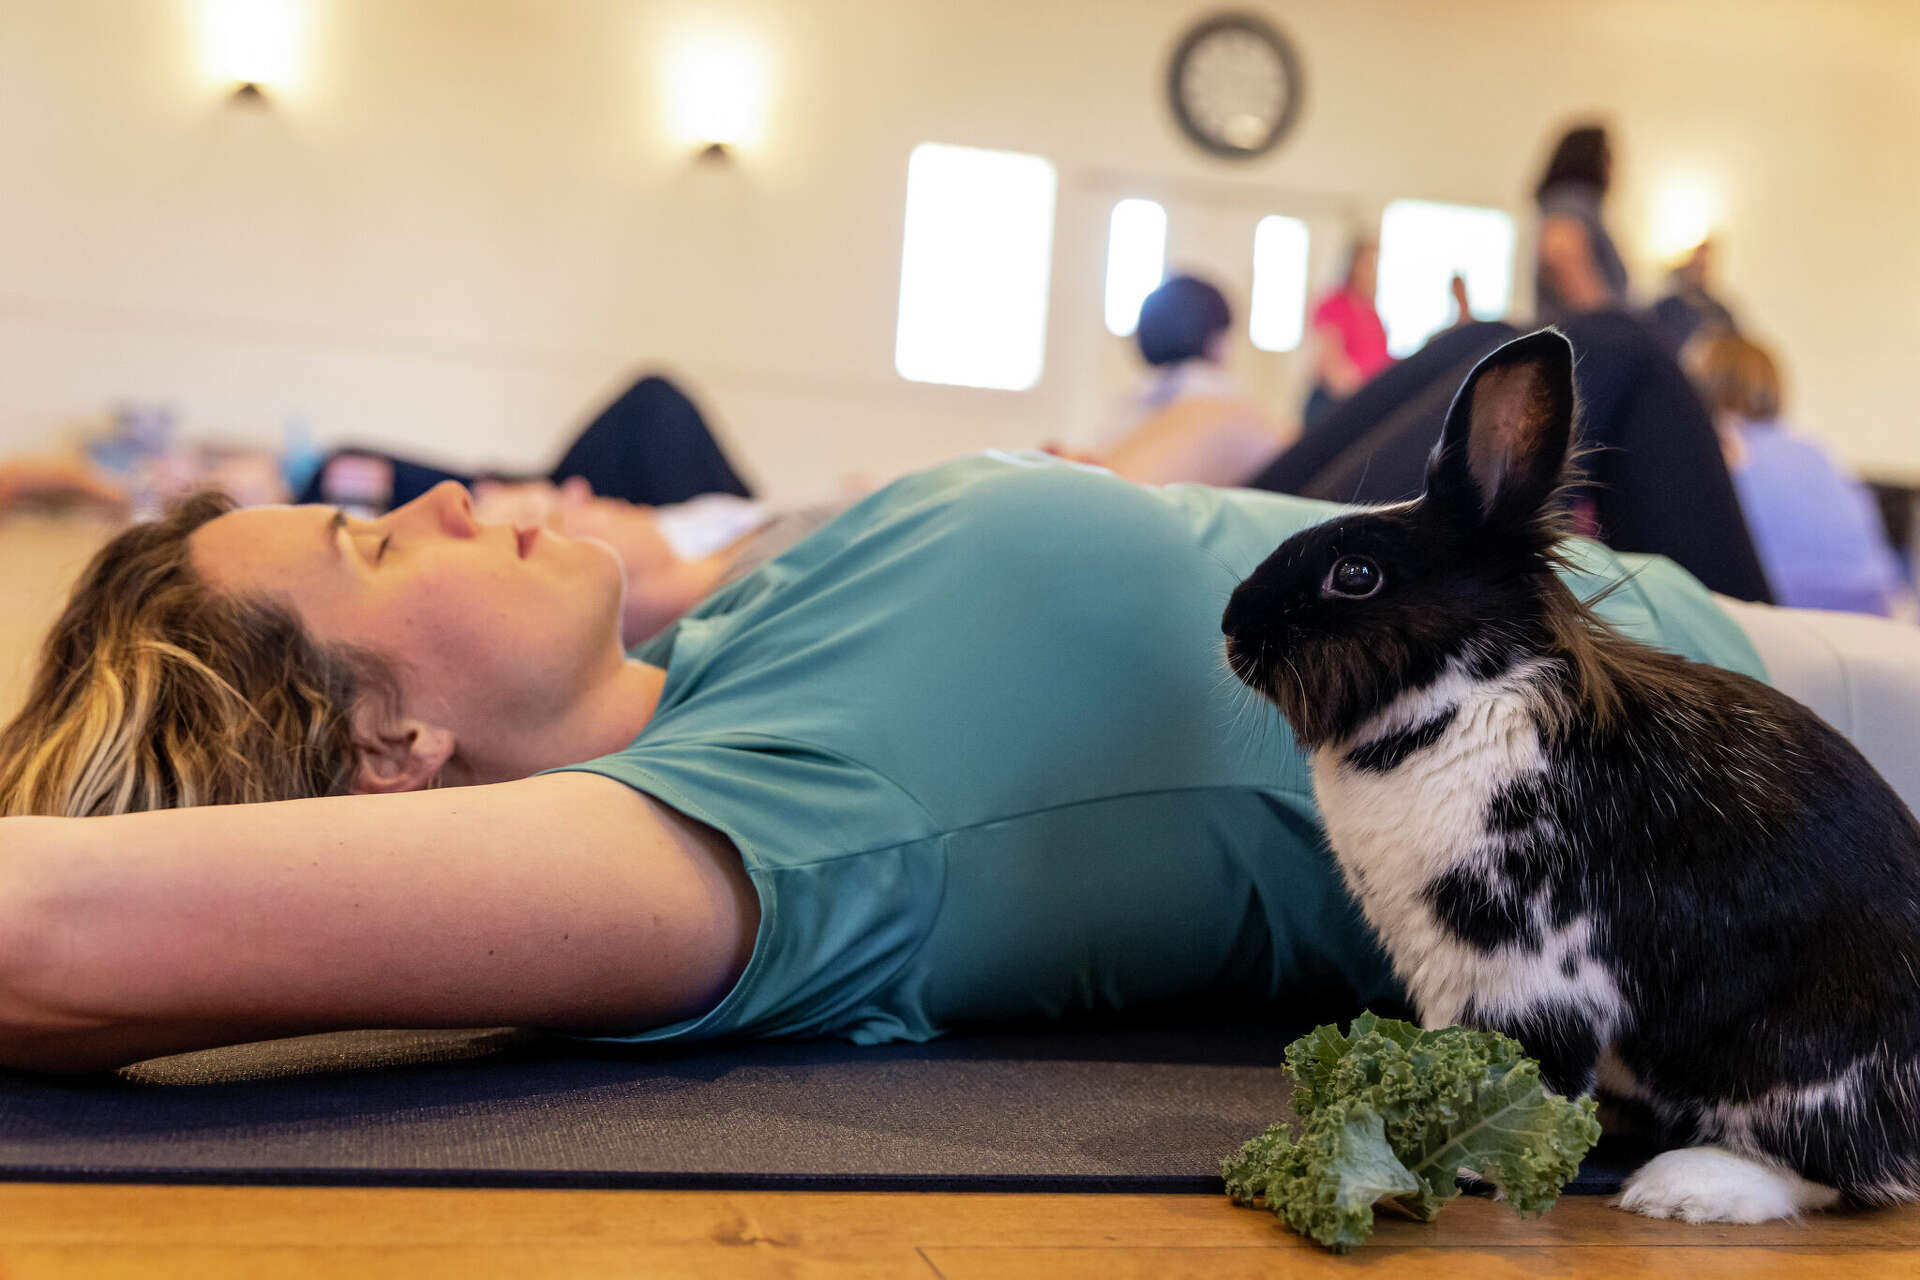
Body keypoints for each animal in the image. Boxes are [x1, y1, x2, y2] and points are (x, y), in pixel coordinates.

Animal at [1221, 328, 1912, 1220]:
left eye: (1356, 575)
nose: (1233, 626)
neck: (1462, 694)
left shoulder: (1521, 967)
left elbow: (1518, 1070)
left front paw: (1471, 1155)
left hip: (1802, 1061)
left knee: (1829, 1167)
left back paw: (1680, 1189)